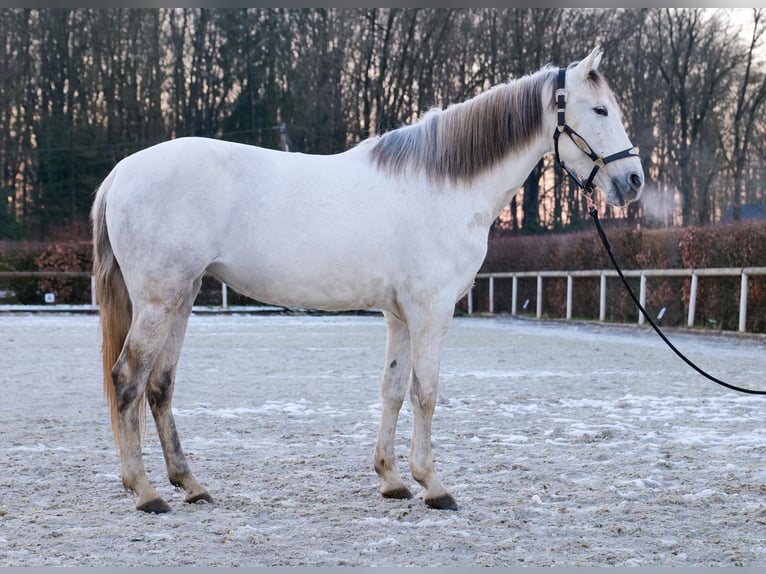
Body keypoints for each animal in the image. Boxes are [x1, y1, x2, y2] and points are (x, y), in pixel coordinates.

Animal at [91, 46, 640, 512]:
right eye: (600, 111)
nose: (633, 181)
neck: (444, 185)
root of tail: (120, 171)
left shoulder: (399, 315)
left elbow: (392, 390)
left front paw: (392, 479)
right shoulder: (431, 310)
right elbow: (426, 391)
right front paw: (433, 485)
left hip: (181, 298)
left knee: (159, 385)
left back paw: (190, 485)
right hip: (159, 301)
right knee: (127, 380)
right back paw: (145, 492)